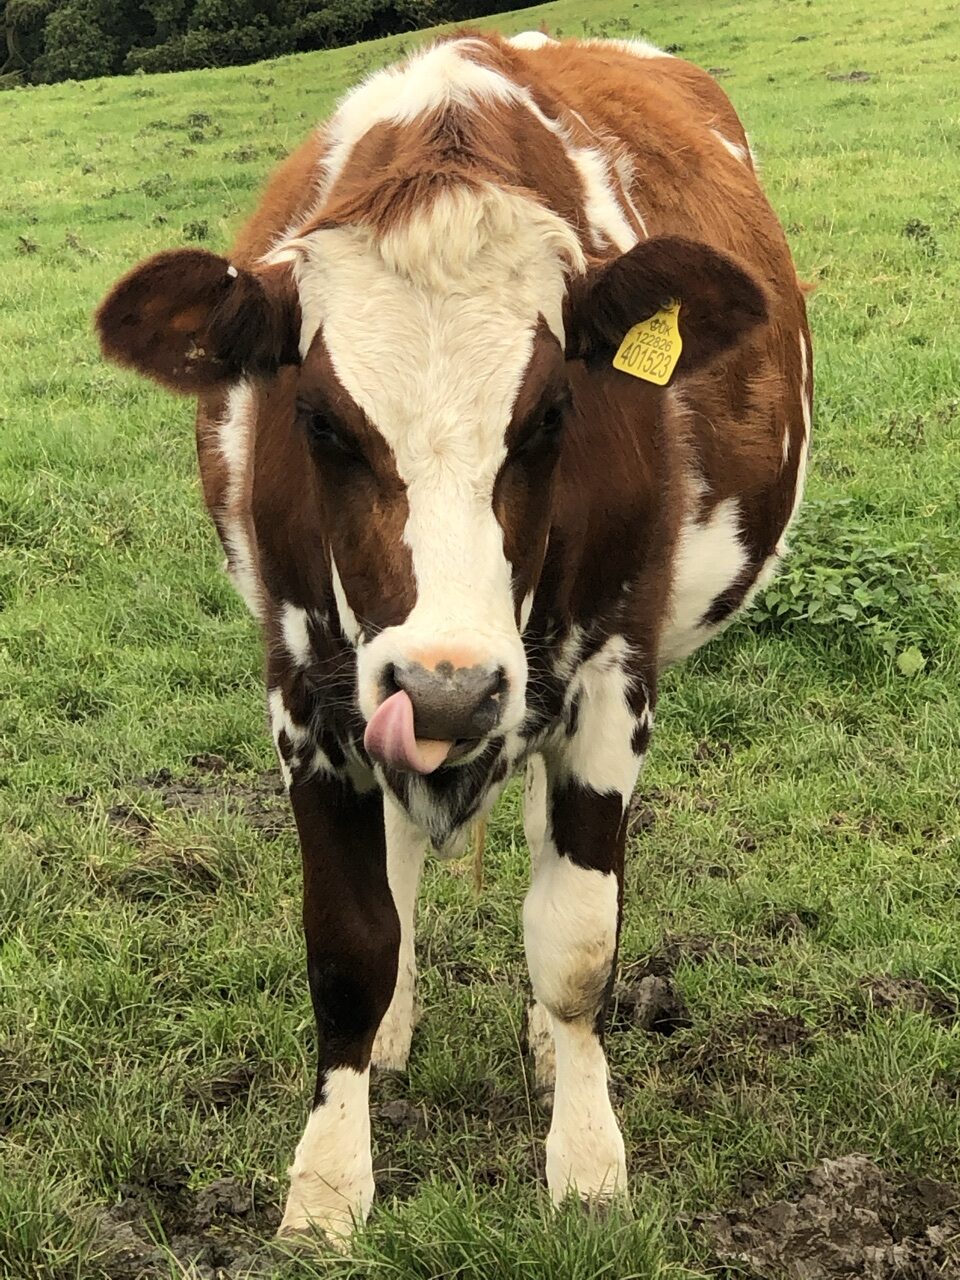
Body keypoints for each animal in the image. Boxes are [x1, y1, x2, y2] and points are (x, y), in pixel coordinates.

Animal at [96, 27, 814, 1249]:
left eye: (552, 415)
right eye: (320, 421)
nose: (447, 689)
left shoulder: (611, 676)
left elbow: (576, 945)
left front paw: (586, 1159)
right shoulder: (307, 688)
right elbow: (350, 943)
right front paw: (327, 1186)